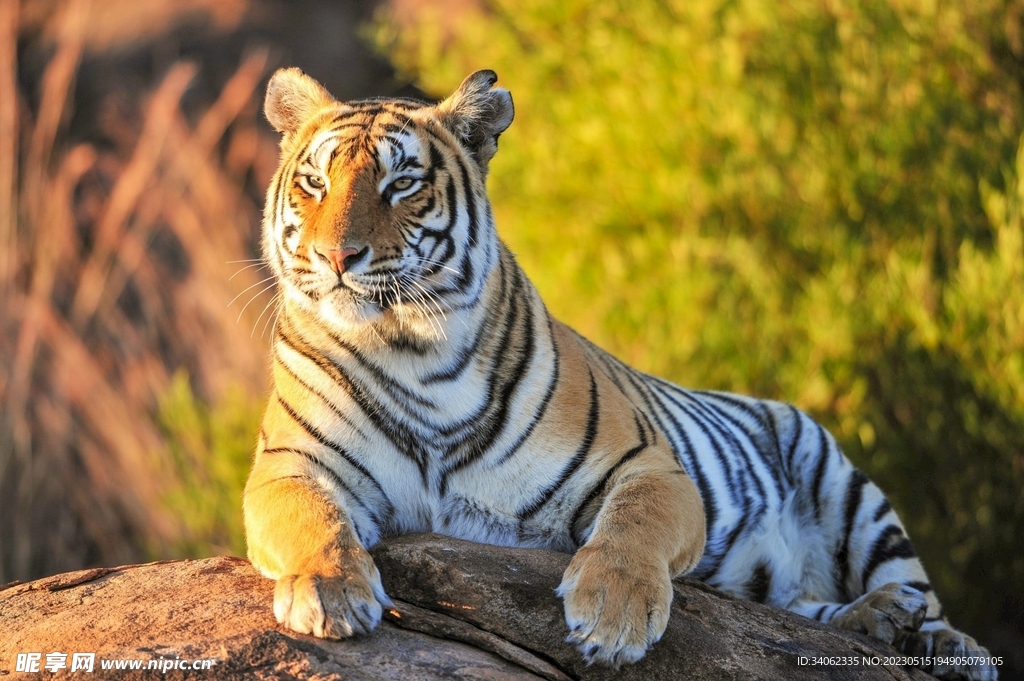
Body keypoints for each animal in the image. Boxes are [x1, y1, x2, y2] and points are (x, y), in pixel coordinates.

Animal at [242, 67, 996, 679]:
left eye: (401, 184)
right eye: (314, 183)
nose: (337, 256)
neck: (410, 350)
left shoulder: (649, 465)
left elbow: (634, 525)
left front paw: (613, 614)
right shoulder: (289, 466)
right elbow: (311, 519)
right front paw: (330, 591)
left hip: (848, 488)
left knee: (915, 591)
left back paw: (942, 641)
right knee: (804, 607)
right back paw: (878, 619)